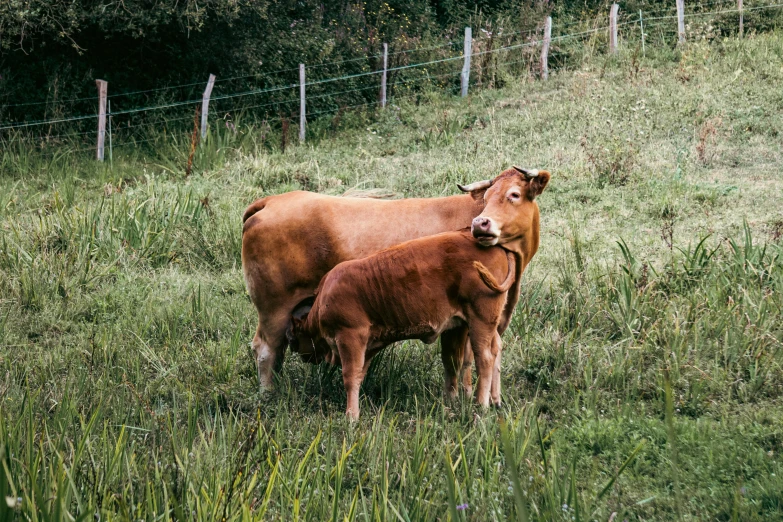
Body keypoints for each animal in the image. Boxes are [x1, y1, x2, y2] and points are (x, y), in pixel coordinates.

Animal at [242, 167, 548, 390]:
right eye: (485, 198)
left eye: (514, 194)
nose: (480, 223)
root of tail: (271, 201)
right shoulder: (466, 320)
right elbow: (465, 363)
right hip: (274, 309)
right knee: (266, 351)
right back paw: (269, 396)